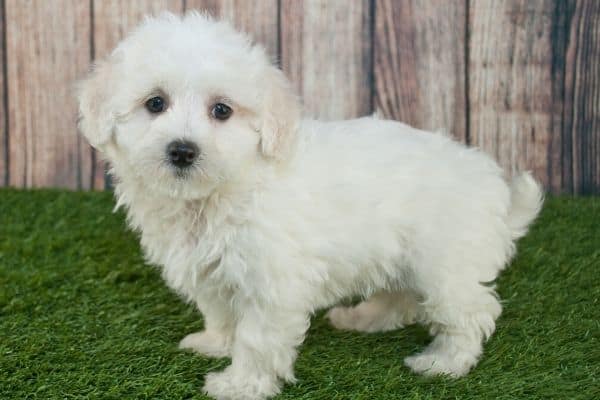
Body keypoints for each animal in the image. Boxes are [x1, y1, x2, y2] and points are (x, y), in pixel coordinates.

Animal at [77, 12, 540, 400]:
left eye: (222, 110)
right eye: (155, 103)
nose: (182, 150)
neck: (221, 191)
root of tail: (493, 187)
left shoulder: (270, 282)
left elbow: (256, 337)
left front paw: (241, 384)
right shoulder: (212, 272)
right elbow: (222, 313)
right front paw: (215, 343)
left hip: (445, 263)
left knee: (469, 311)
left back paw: (444, 362)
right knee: (400, 297)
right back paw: (362, 318)